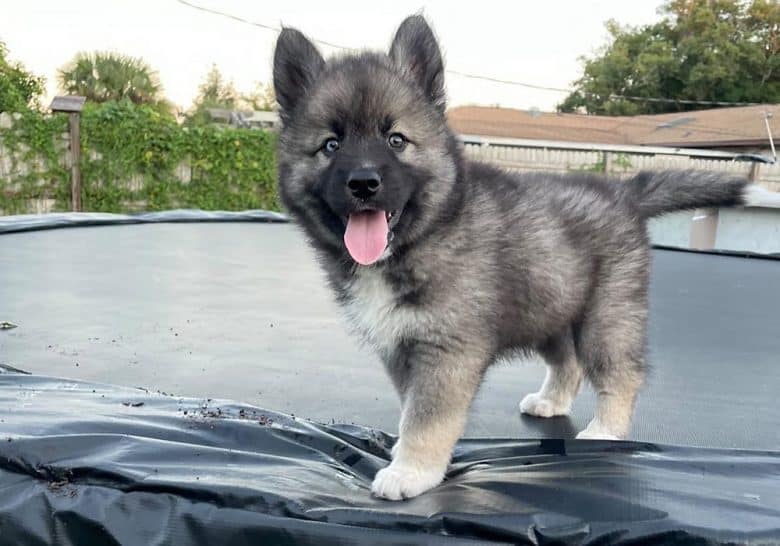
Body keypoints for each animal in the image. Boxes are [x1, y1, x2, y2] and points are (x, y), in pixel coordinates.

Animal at [272, 14, 748, 500]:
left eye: (396, 140)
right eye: (331, 145)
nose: (364, 183)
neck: (423, 237)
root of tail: (621, 190)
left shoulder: (446, 352)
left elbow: (427, 417)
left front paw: (412, 471)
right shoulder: (402, 349)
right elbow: (411, 409)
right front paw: (407, 454)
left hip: (607, 316)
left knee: (619, 373)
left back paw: (606, 432)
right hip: (552, 308)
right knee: (569, 363)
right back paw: (552, 401)